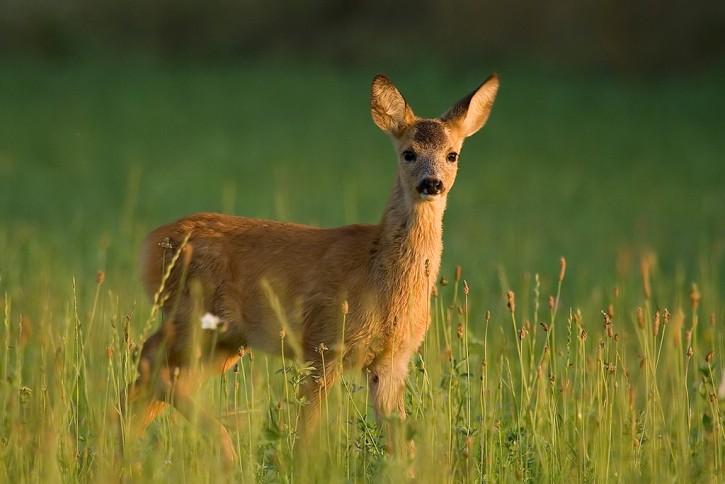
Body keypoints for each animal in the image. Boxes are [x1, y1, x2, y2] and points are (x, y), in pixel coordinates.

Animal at [117, 71, 498, 466]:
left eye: (452, 154)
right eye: (408, 153)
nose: (431, 183)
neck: (377, 274)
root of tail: (150, 244)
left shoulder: (391, 362)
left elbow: (400, 441)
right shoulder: (324, 344)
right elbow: (307, 433)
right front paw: (302, 468)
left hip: (223, 340)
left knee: (155, 381)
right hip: (191, 315)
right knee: (149, 361)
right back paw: (221, 450)